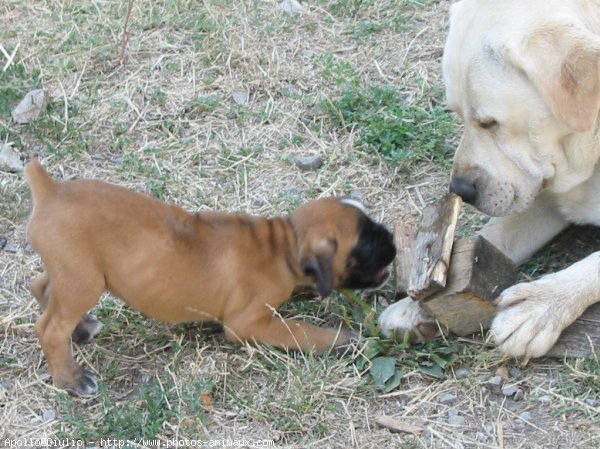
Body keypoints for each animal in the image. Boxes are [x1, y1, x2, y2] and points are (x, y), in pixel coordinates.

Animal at [25, 159, 396, 394]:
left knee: (41, 285)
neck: (283, 246)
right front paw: (342, 340)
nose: (393, 241)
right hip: (84, 280)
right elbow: (300, 332)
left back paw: (82, 328)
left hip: (71, 271)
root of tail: (51, 190)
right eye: (365, 243)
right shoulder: (247, 323)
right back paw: (71, 379)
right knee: (49, 328)